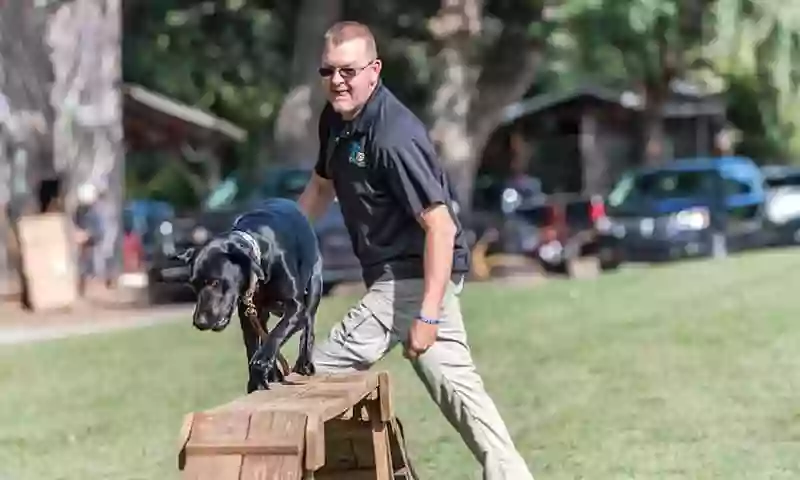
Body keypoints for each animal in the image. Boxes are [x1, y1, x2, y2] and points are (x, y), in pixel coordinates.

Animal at [176, 197, 324, 392]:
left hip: (314, 284)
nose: (199, 322)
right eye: (193, 286)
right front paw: (257, 380)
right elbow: (252, 344)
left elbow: (278, 332)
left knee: (308, 325)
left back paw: (304, 362)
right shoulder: (248, 313)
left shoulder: (296, 306)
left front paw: (263, 360)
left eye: (215, 282)